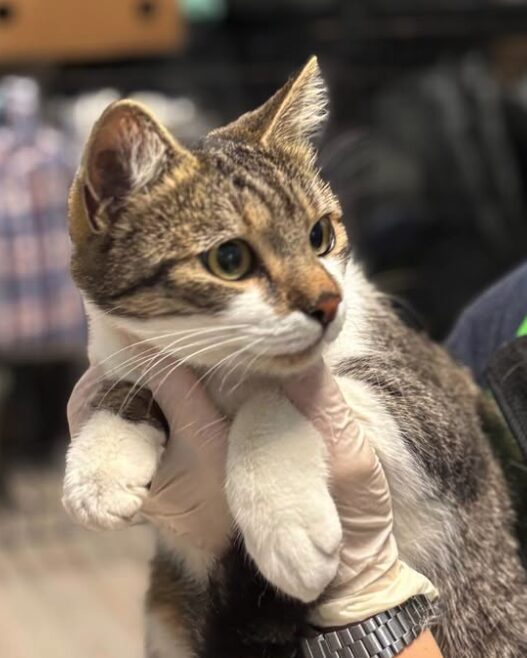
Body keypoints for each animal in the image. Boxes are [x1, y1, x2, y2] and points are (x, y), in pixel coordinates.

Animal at [64, 57, 527, 656]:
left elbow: (280, 396)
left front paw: (287, 521)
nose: (329, 303)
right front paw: (100, 465)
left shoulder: (438, 411)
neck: (220, 368)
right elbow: (122, 382)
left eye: (320, 234)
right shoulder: (127, 351)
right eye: (230, 259)